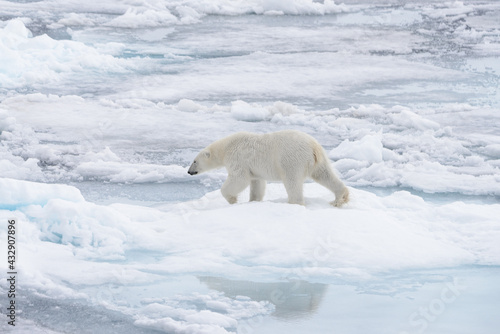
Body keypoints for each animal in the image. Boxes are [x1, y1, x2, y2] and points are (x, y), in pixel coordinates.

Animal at [187, 130, 348, 206]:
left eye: (194, 161)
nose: (189, 172)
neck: (226, 147)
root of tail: (313, 147)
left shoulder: (237, 158)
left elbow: (239, 178)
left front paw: (232, 199)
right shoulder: (254, 169)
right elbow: (257, 183)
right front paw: (253, 201)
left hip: (291, 159)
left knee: (292, 181)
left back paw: (293, 202)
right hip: (319, 161)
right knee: (325, 175)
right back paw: (339, 199)